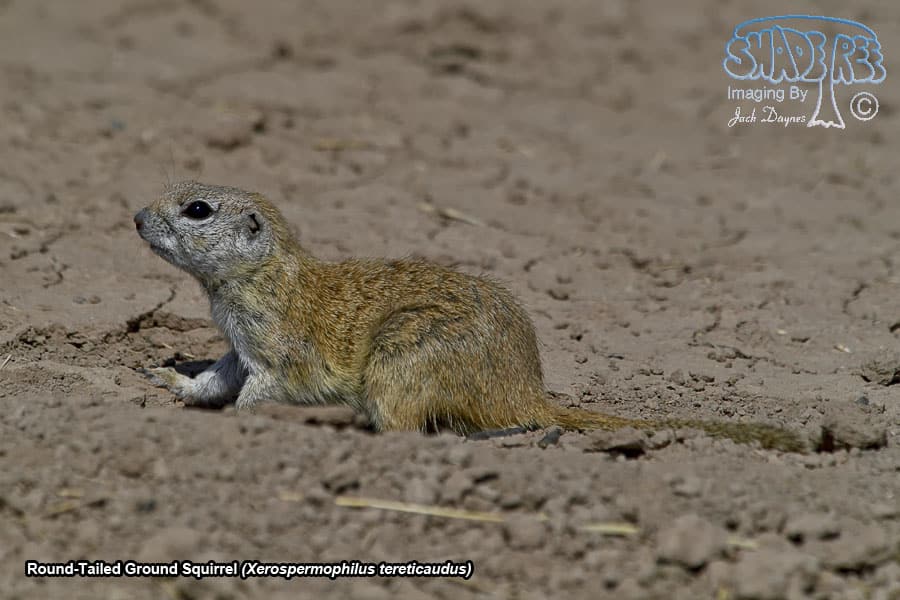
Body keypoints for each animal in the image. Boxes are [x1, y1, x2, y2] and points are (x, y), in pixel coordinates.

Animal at [134, 181, 807, 452]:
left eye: (197, 209)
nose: (136, 216)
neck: (258, 274)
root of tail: (525, 393)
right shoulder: (238, 344)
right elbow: (219, 378)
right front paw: (170, 379)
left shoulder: (278, 348)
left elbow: (261, 392)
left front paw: (236, 425)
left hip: (402, 355)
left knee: (408, 430)